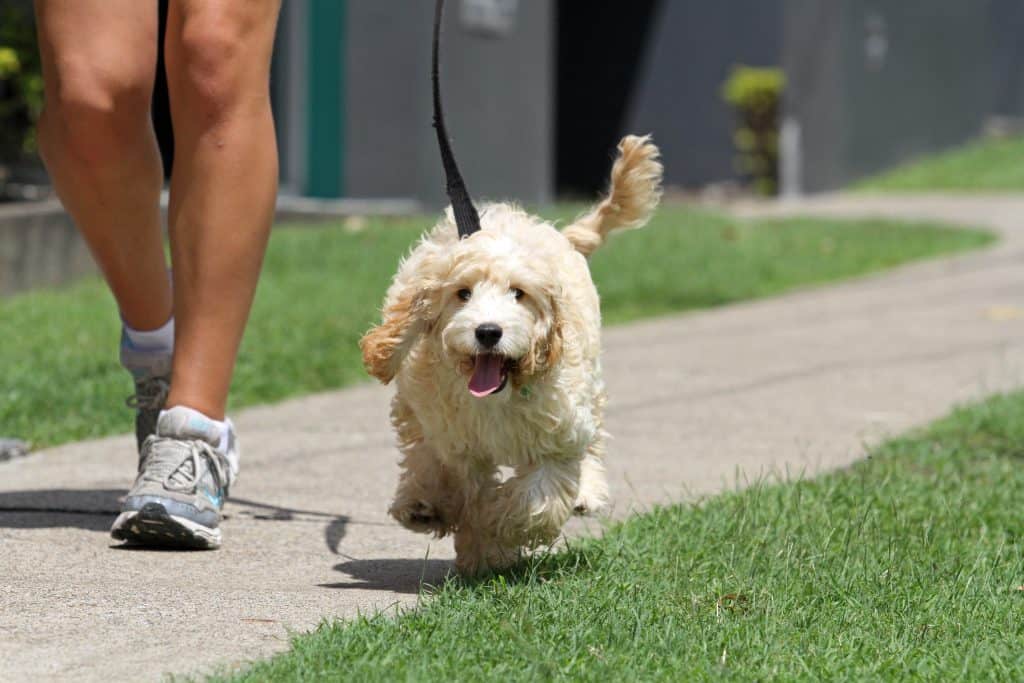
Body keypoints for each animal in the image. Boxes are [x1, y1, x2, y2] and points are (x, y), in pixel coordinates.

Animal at [360, 136, 663, 573]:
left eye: (519, 293)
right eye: (462, 293)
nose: (488, 332)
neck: (498, 396)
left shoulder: (557, 437)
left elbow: (535, 500)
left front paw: (495, 533)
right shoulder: (457, 443)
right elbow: (464, 484)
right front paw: (478, 544)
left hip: (589, 382)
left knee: (593, 438)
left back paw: (586, 491)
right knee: (419, 448)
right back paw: (420, 503)